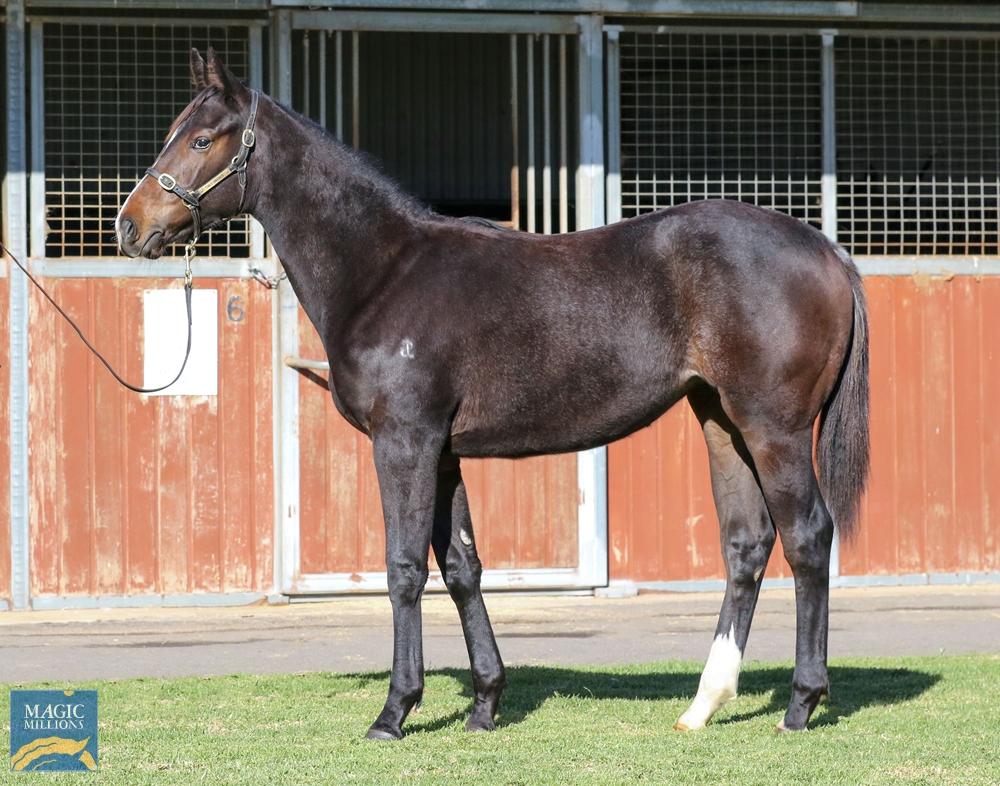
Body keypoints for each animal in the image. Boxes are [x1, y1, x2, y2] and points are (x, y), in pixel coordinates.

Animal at [117, 48, 869, 740]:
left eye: (202, 139)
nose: (130, 225)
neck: (385, 271)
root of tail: (826, 250)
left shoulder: (405, 442)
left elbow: (403, 568)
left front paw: (395, 712)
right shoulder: (444, 451)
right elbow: (461, 567)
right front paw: (484, 704)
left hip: (772, 428)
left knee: (807, 537)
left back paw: (801, 704)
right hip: (721, 421)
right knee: (746, 545)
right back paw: (702, 706)